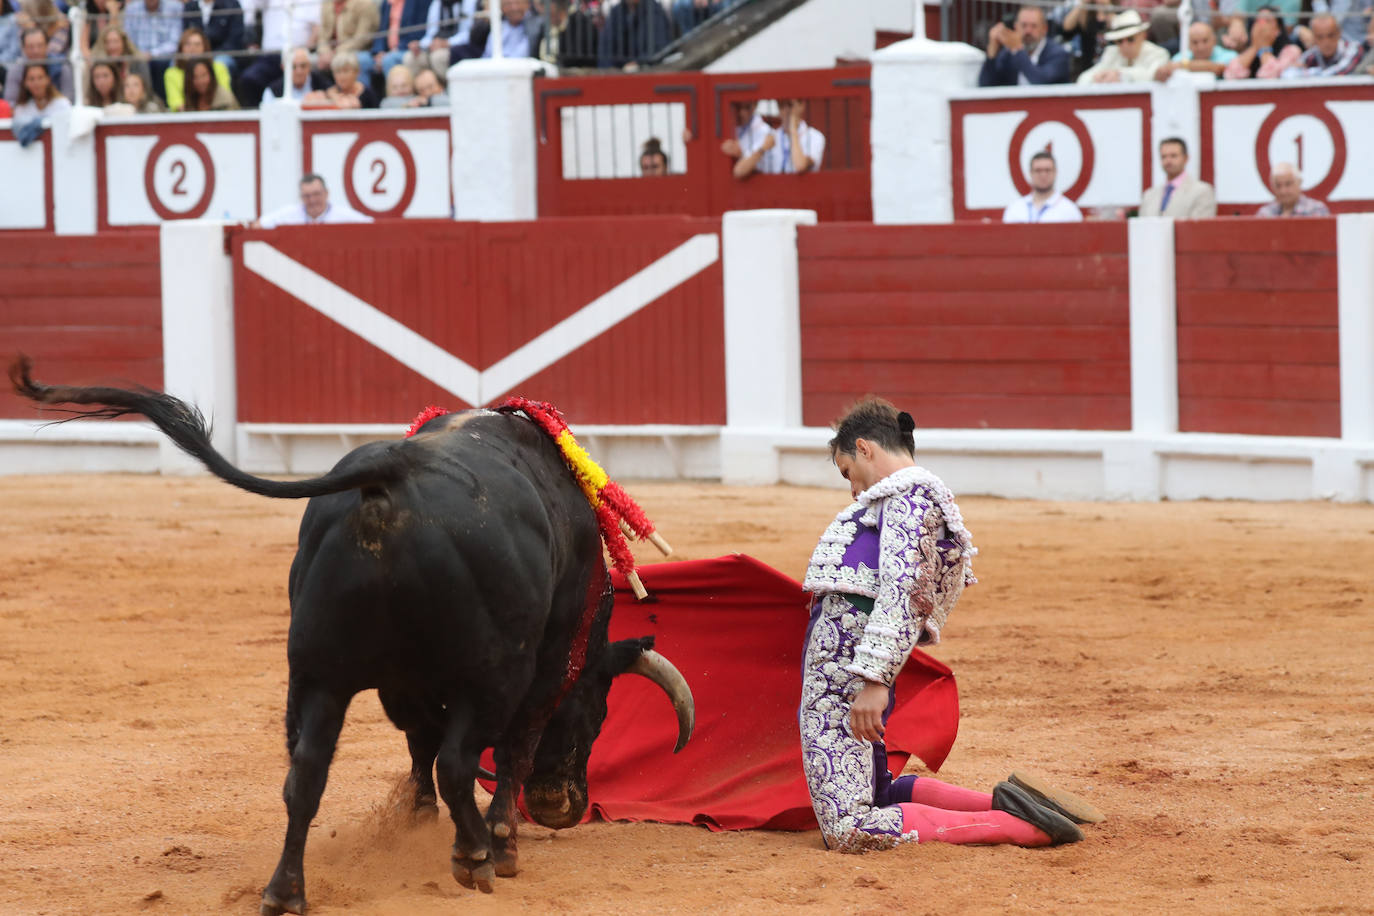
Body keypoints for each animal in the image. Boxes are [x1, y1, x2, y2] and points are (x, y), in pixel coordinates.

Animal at [8, 359, 697, 916]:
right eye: (598, 712)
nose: (563, 805)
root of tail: (386, 479)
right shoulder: (547, 664)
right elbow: (505, 749)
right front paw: (500, 843)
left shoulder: (398, 682)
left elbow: (417, 743)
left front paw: (415, 821)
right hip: (486, 672)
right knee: (456, 762)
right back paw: (474, 856)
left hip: (317, 673)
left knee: (306, 773)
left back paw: (286, 893)